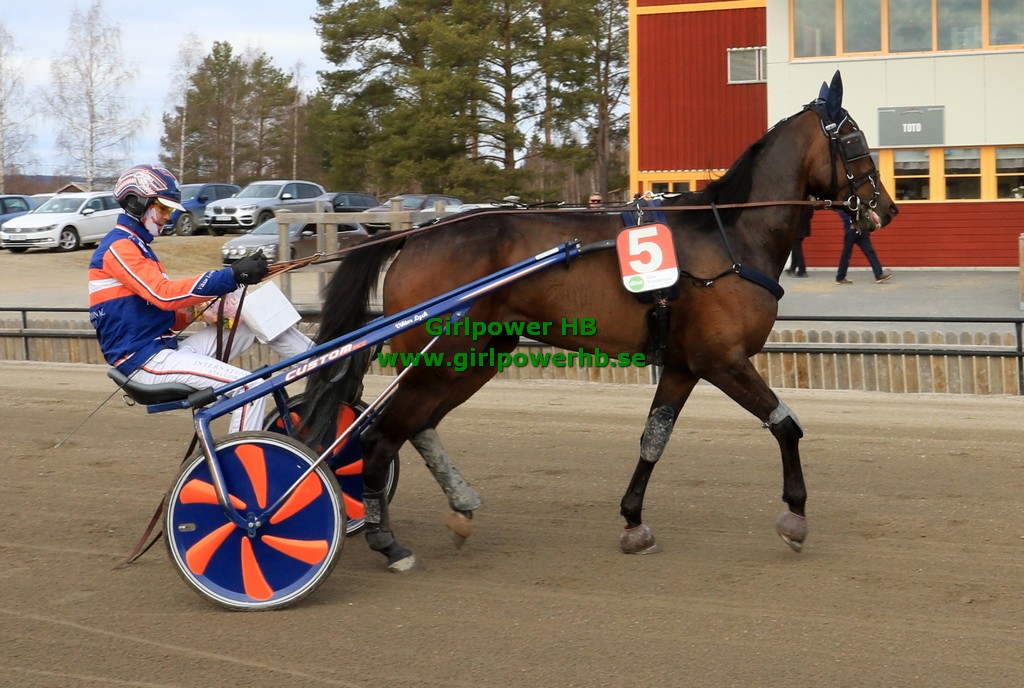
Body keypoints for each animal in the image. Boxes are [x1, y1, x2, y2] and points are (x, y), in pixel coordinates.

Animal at [302, 71, 898, 571]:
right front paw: (795, 517)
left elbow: (653, 440)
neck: (728, 236)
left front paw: (634, 521)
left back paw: (457, 505)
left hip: (476, 357)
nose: (886, 209)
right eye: (854, 141)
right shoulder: (722, 360)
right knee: (380, 437)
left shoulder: (683, 366)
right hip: (442, 357)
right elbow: (786, 425)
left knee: (418, 426)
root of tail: (415, 235)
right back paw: (387, 541)